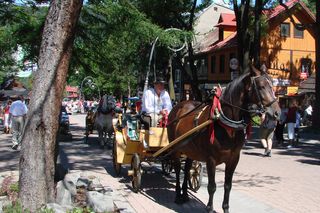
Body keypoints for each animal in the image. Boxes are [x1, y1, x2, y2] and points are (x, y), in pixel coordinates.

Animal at [166, 66, 282, 213]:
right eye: (261, 86)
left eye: (272, 85)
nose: (277, 113)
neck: (226, 125)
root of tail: (179, 106)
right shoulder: (211, 160)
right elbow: (212, 186)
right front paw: (210, 208)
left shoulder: (234, 159)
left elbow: (228, 185)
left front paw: (225, 208)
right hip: (175, 149)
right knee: (176, 169)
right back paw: (178, 195)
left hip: (190, 150)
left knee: (187, 169)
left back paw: (185, 194)